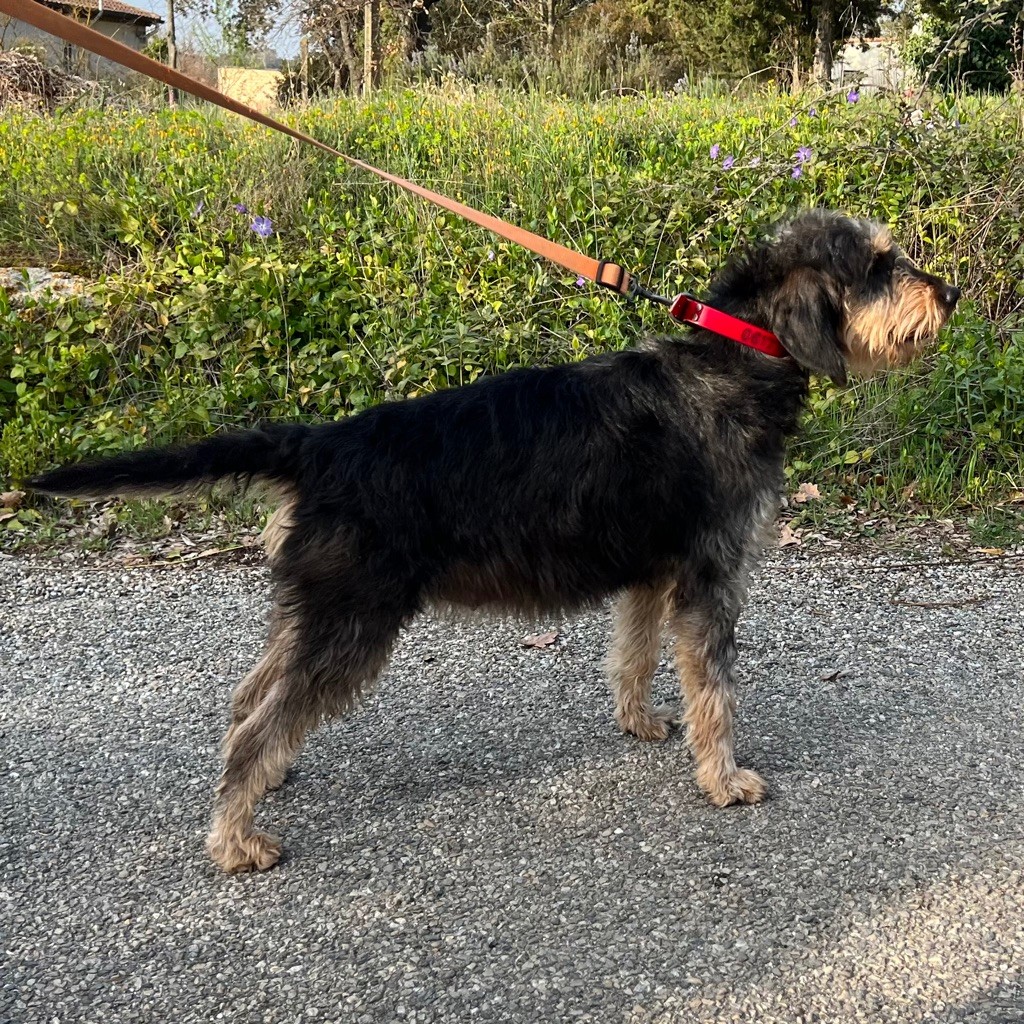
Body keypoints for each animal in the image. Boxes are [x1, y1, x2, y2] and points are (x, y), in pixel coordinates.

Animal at [29, 209, 960, 872]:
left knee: (248, 700)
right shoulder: (710, 579)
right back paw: (235, 839)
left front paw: (640, 724)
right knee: (261, 720)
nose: (948, 294)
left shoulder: (652, 576)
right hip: (350, 624)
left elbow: (634, 656)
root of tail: (319, 444)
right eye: (879, 266)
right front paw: (724, 778)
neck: (736, 359)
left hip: (315, 613)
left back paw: (266, 782)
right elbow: (716, 692)